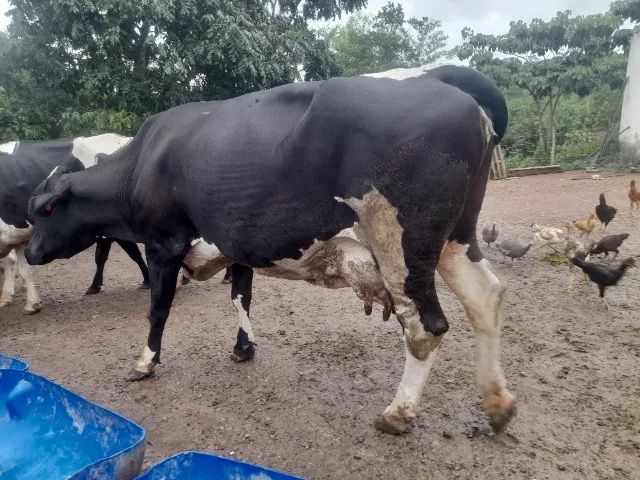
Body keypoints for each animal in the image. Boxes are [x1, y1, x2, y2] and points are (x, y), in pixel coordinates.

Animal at [25, 65, 515, 434]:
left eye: (44, 211)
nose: (28, 252)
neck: (141, 161)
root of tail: (433, 74)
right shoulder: (238, 245)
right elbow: (240, 296)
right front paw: (244, 348)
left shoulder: (165, 241)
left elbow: (158, 307)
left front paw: (145, 362)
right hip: (455, 238)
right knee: (486, 297)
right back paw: (498, 404)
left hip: (401, 245)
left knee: (424, 325)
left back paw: (398, 412)